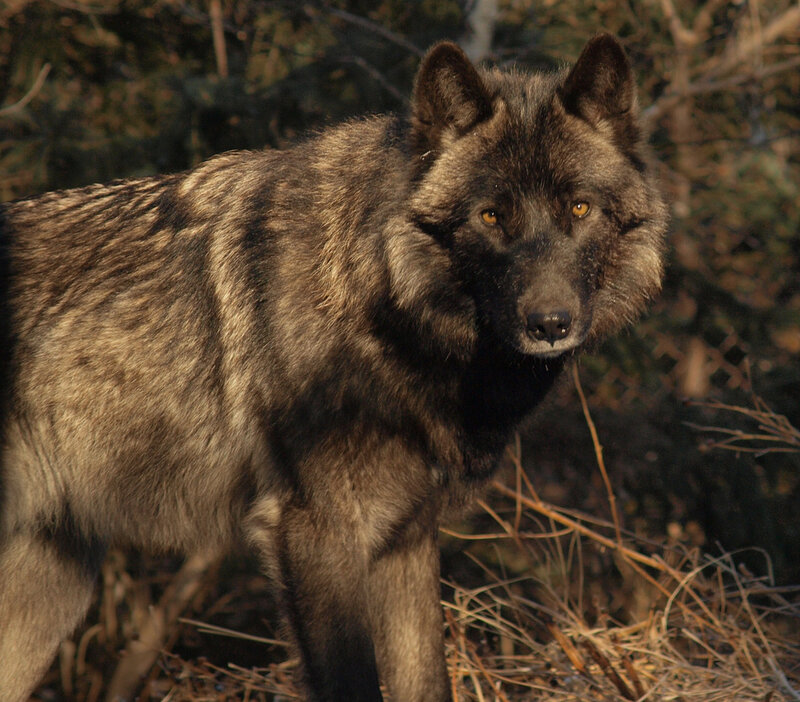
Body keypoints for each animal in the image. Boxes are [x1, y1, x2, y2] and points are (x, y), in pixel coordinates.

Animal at [0, 34, 666, 701]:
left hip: (55, 586)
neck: (377, 302)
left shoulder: (406, 540)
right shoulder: (316, 532)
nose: (549, 323)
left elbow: (427, 680)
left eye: (578, 208)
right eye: (490, 216)